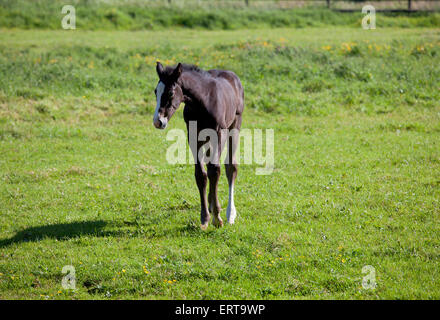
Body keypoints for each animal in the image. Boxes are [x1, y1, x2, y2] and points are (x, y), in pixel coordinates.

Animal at [153, 61, 244, 229]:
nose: (158, 121)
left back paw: (230, 213)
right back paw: (211, 204)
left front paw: (217, 218)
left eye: (170, 93)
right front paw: (205, 217)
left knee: (230, 166)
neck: (203, 102)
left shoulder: (219, 134)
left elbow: (215, 170)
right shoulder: (193, 136)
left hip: (235, 125)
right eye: (156, 91)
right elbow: (201, 174)